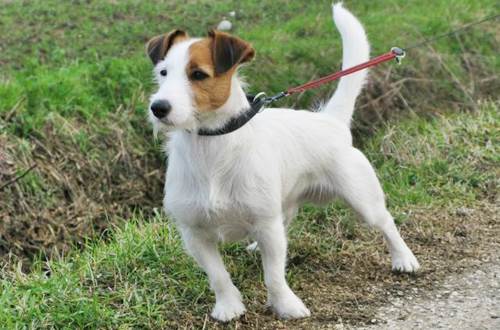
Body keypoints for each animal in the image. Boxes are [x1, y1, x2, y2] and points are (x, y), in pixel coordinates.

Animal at [145, 2, 418, 322]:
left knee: (386, 222)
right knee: (285, 221)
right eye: (163, 72)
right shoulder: (195, 234)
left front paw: (286, 306)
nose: (158, 107)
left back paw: (404, 258)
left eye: (198, 74)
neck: (211, 147)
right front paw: (229, 306)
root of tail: (330, 120)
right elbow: (218, 275)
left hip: (363, 199)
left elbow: (274, 275)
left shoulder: (266, 225)